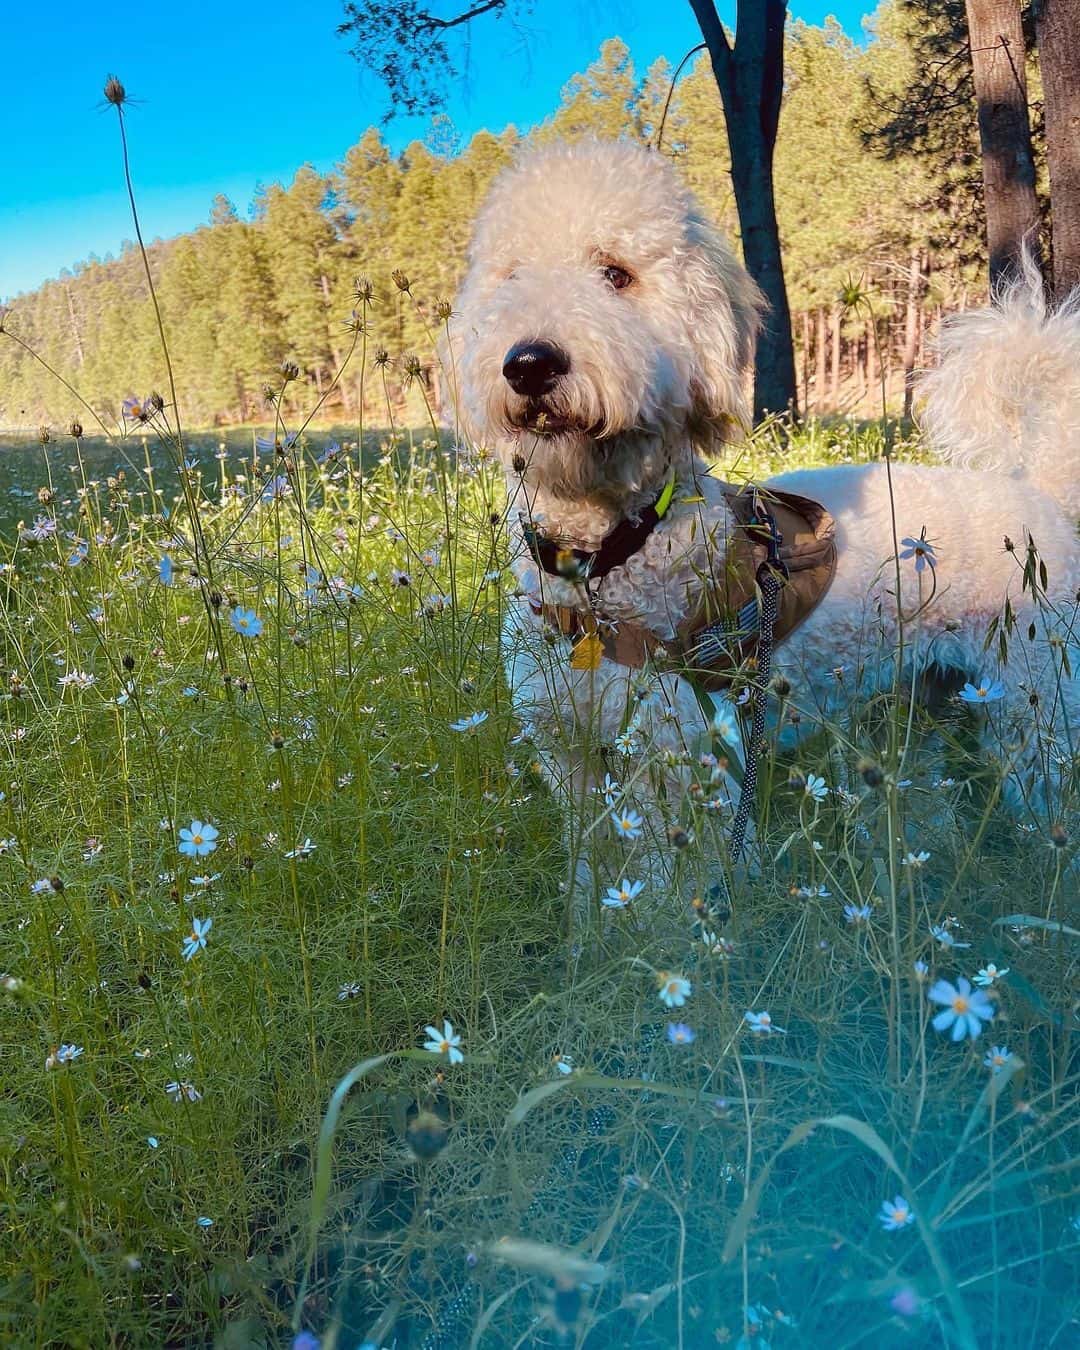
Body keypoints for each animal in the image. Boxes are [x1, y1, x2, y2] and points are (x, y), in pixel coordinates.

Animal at [442, 137, 1074, 874]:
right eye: (511, 277)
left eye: (616, 275)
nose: (530, 363)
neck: (606, 558)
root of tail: (1039, 488)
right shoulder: (569, 755)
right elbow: (590, 880)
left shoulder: (680, 765)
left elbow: (666, 892)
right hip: (914, 706)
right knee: (925, 809)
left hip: (1038, 715)